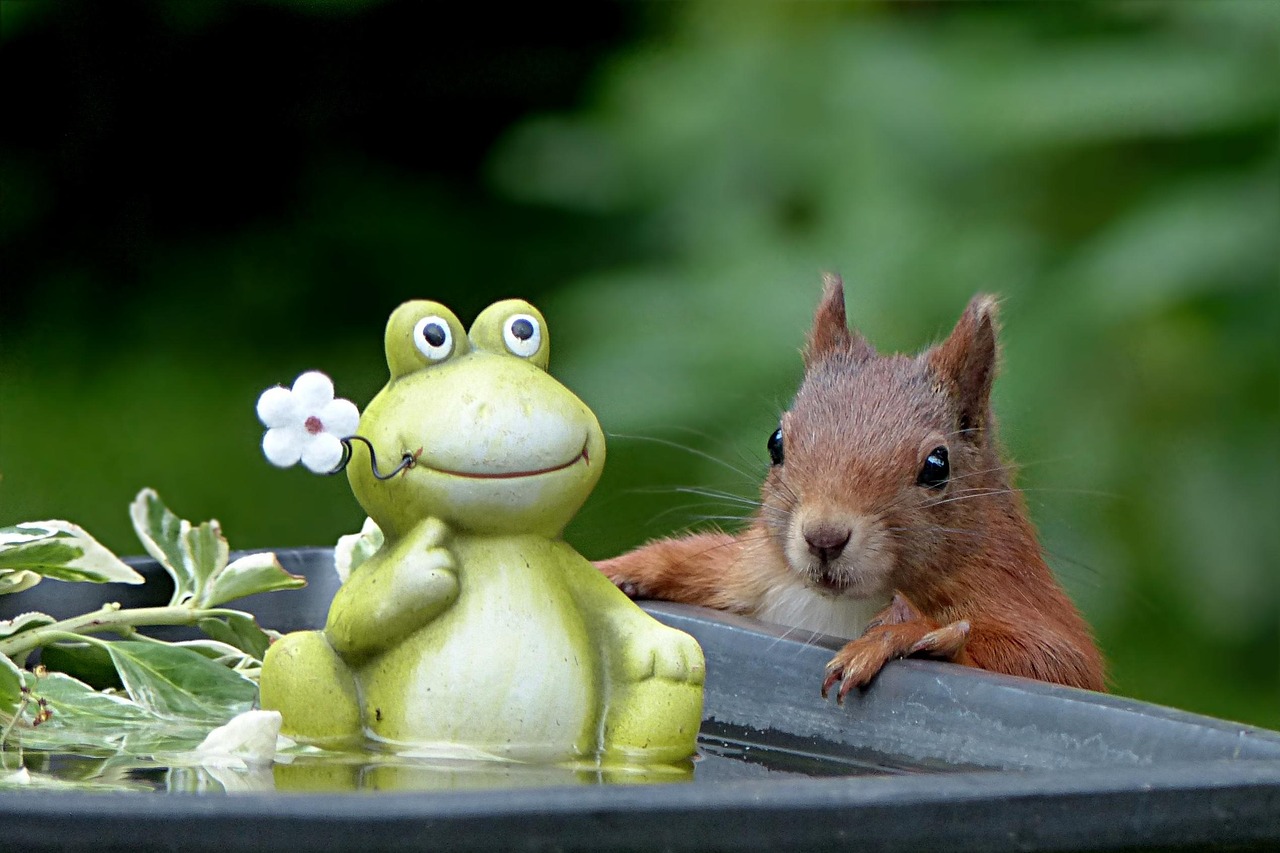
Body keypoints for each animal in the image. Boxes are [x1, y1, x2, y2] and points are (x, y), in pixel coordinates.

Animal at [593, 275, 1105, 696]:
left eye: (937, 465)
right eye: (776, 442)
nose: (824, 538)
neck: (843, 607)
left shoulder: (1019, 596)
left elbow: (1053, 662)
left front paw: (907, 634)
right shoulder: (751, 573)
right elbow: (700, 560)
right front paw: (621, 569)